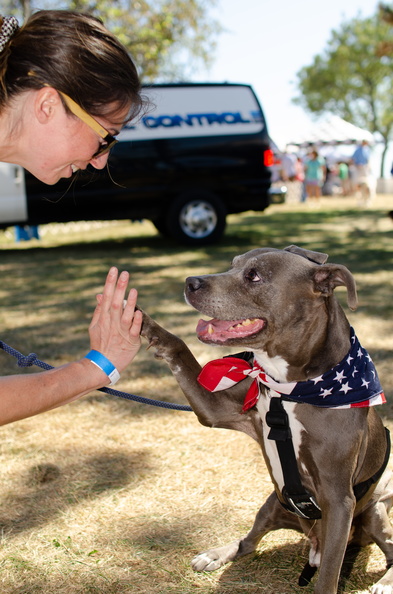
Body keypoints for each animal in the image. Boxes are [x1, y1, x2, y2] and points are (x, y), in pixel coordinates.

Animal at [139, 244, 390, 592]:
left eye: (253, 276)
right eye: (232, 265)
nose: (190, 282)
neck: (290, 388)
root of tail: (311, 544)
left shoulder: (339, 499)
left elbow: (328, 576)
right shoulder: (217, 409)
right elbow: (179, 349)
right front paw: (141, 321)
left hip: (375, 512)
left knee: (387, 550)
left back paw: (386, 581)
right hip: (272, 503)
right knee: (249, 542)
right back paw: (215, 554)